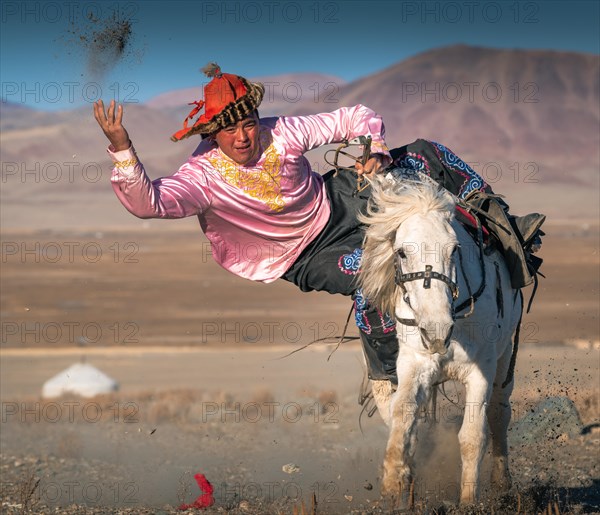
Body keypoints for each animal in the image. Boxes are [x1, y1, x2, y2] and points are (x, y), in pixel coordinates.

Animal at [358, 172, 524, 508]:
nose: (436, 332)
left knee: (499, 414)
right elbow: (403, 414)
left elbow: (472, 437)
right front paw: (394, 485)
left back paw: (502, 485)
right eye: (401, 251)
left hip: (505, 360)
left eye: (454, 249)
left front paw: (469, 503)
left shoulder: (480, 372)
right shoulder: (414, 365)